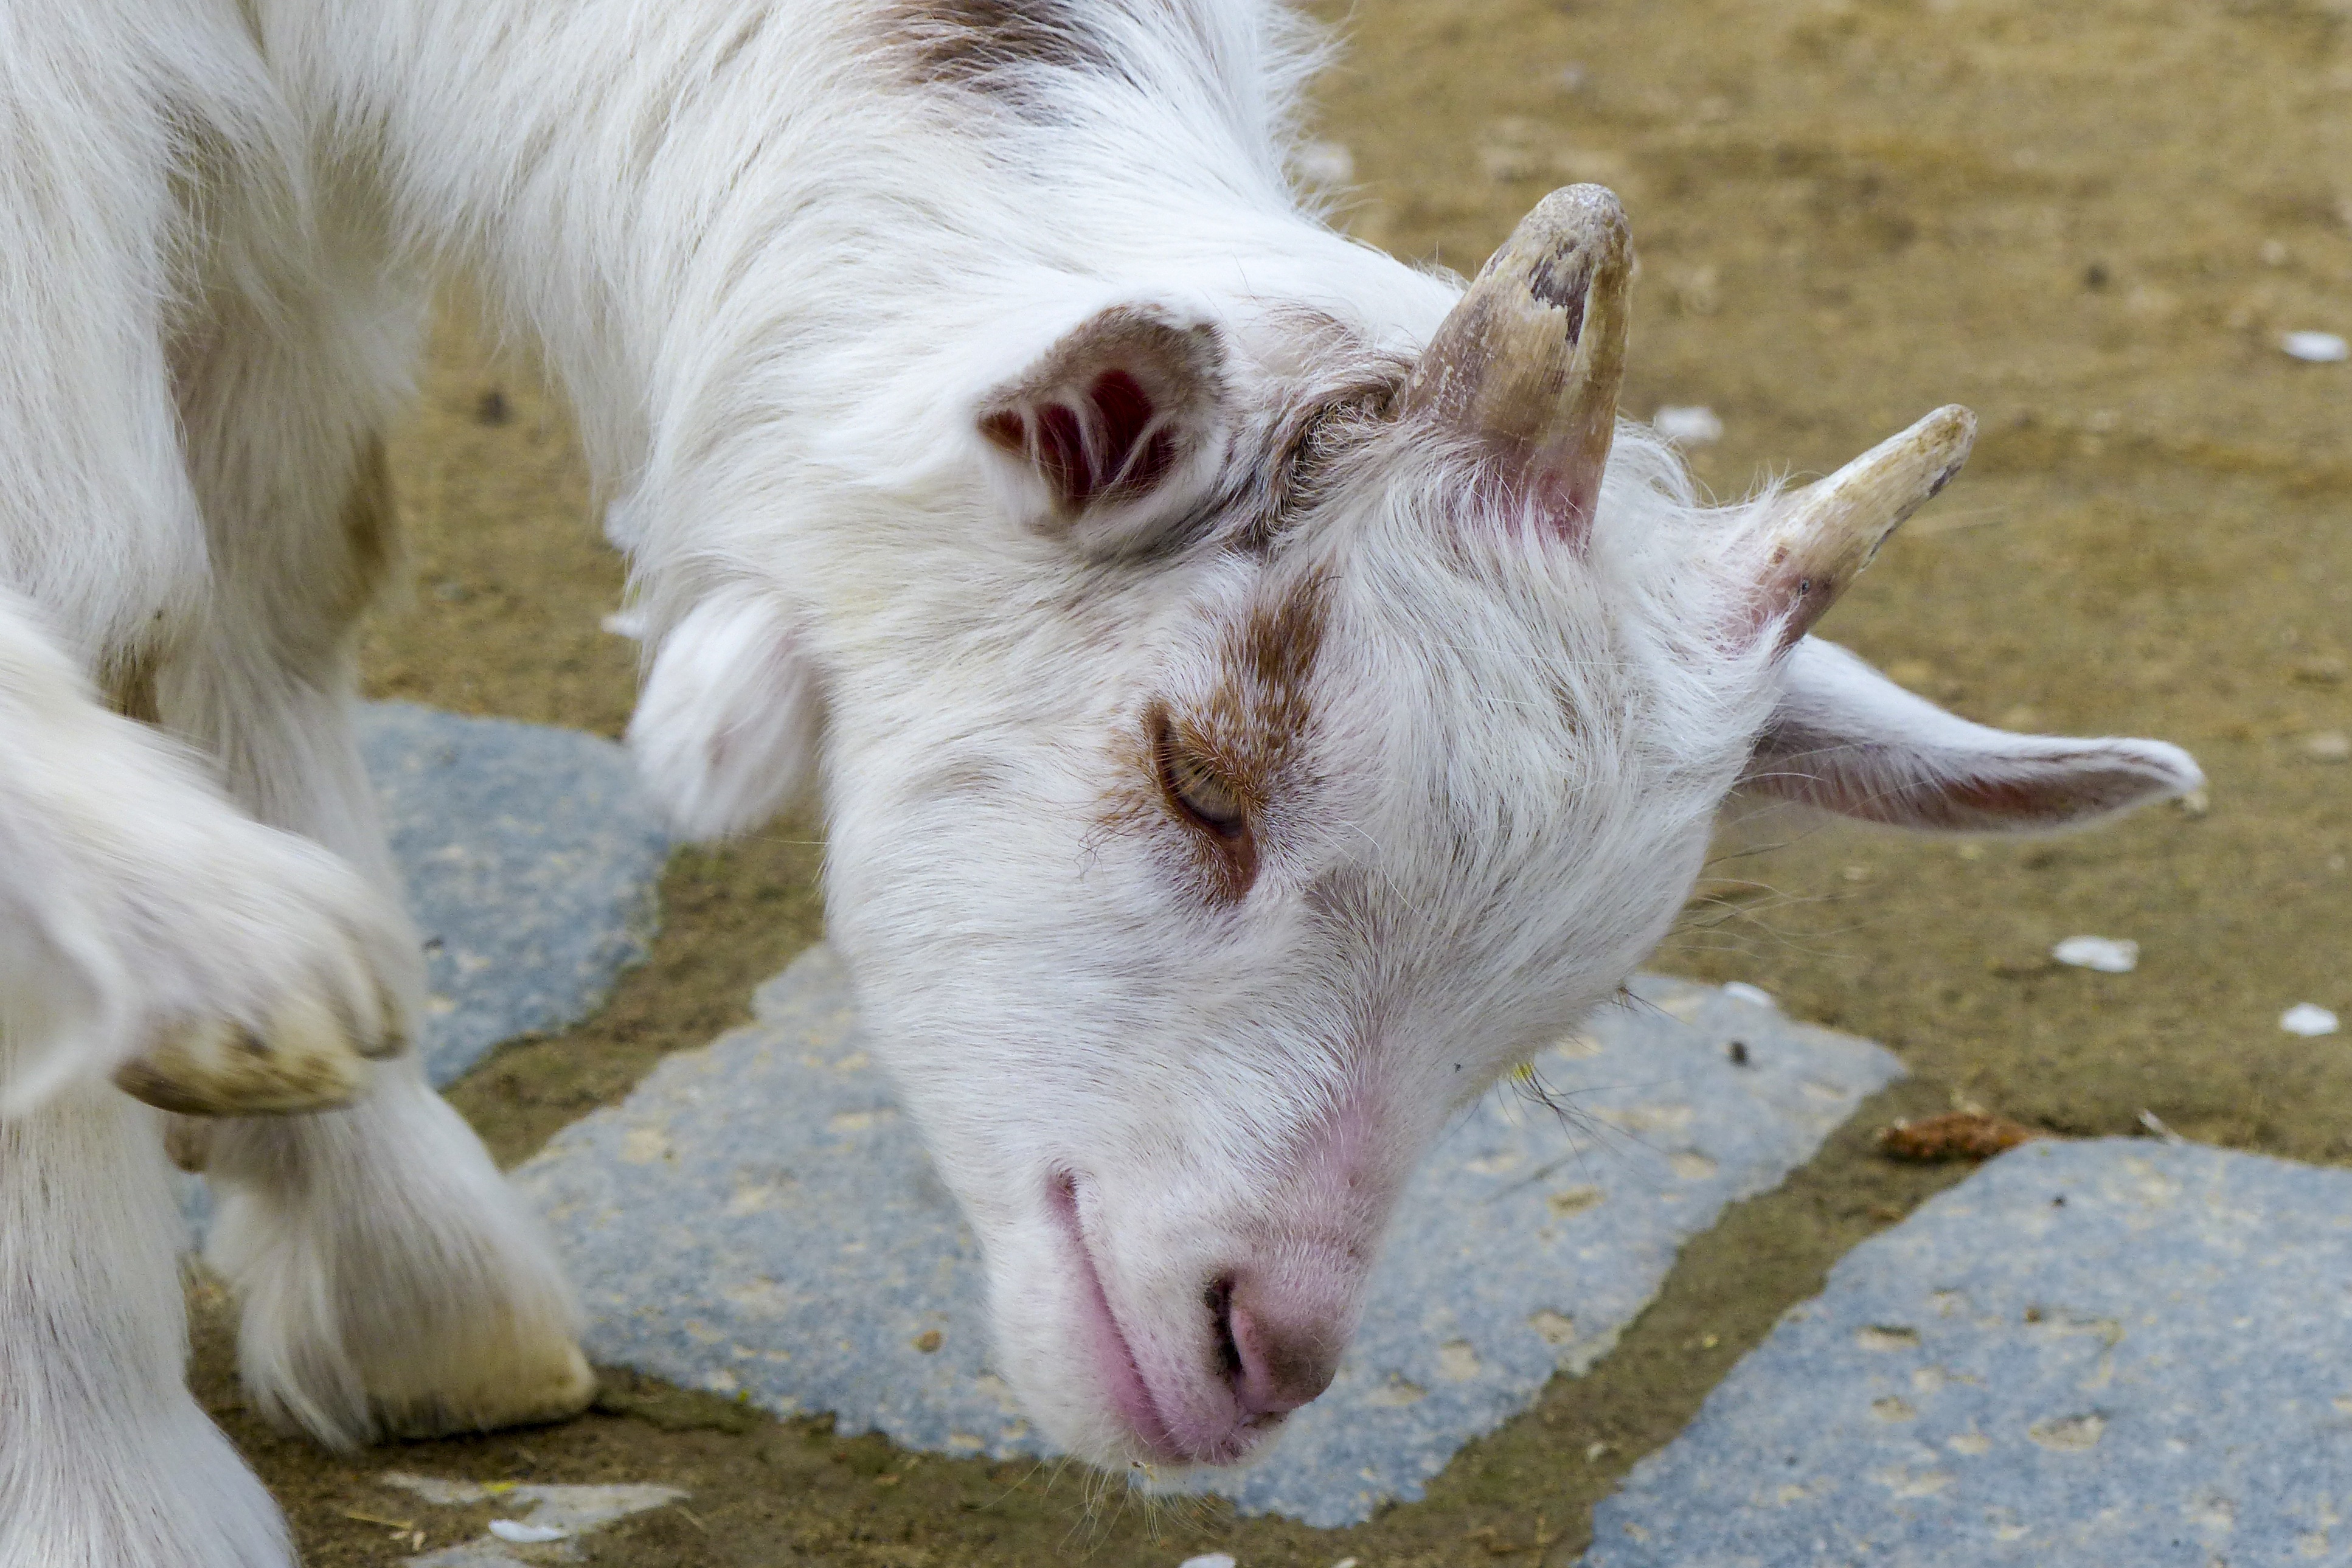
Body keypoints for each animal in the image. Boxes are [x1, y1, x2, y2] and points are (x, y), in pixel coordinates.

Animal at [4, 3, 2201, 1568]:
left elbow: (278, 549)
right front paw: (107, 1473)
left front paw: (391, 1260)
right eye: (1200, 775)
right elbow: (102, 555)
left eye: (1559, 1006)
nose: (1255, 1348)